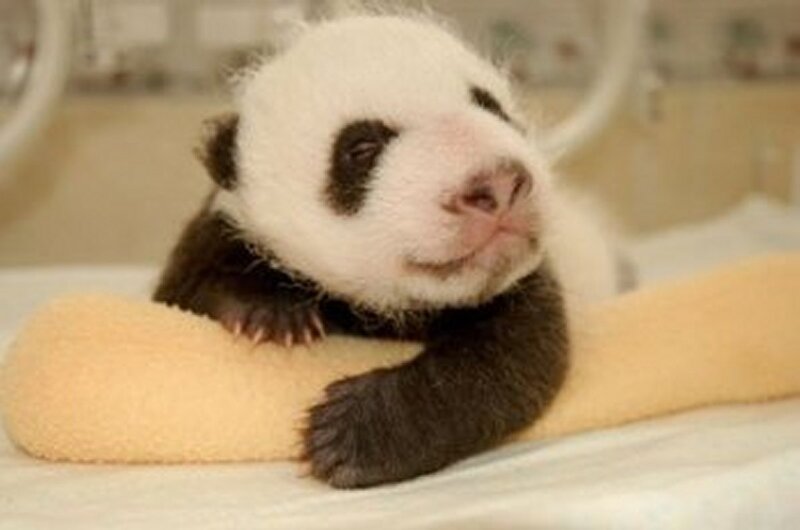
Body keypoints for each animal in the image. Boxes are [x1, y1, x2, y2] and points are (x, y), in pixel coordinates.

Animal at [154, 13, 620, 488]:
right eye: (361, 148)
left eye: (493, 108)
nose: (499, 184)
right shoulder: (224, 225)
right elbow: (186, 286)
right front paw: (269, 313)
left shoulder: (525, 285)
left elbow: (515, 359)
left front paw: (348, 433)